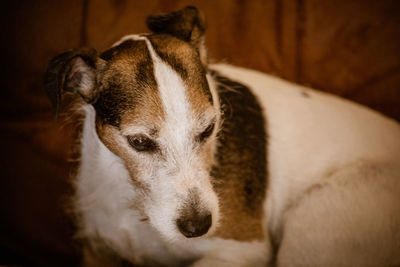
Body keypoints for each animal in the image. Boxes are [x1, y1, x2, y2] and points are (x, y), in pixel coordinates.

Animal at [44, 5, 400, 267]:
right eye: (140, 142)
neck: (135, 201)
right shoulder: (98, 248)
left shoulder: (243, 249)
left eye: (208, 129)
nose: (198, 227)